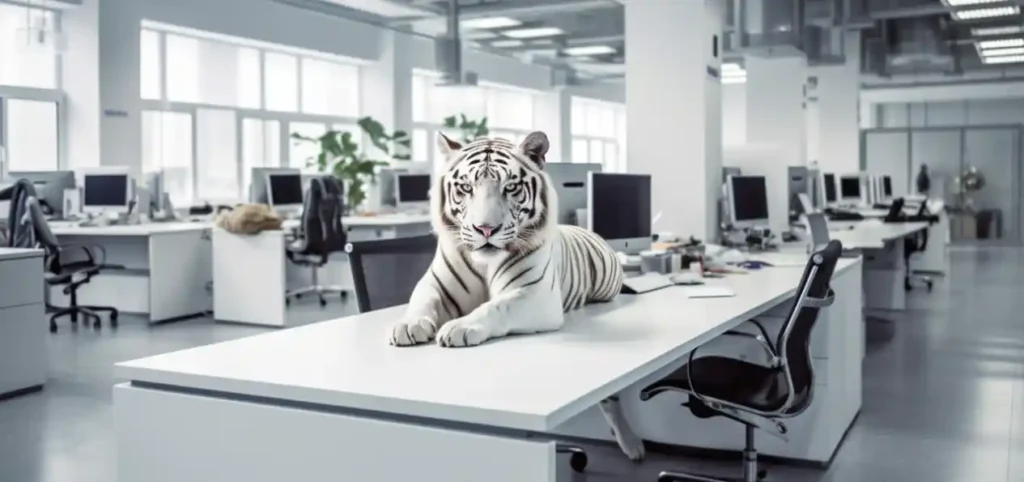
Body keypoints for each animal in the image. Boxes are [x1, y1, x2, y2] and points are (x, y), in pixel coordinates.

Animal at [387, 130, 643, 460]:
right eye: (466, 188)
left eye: (510, 187)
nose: (485, 229)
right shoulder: (433, 284)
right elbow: (421, 301)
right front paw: (408, 326)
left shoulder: (536, 295)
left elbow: (495, 307)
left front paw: (459, 327)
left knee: (611, 399)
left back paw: (633, 445)